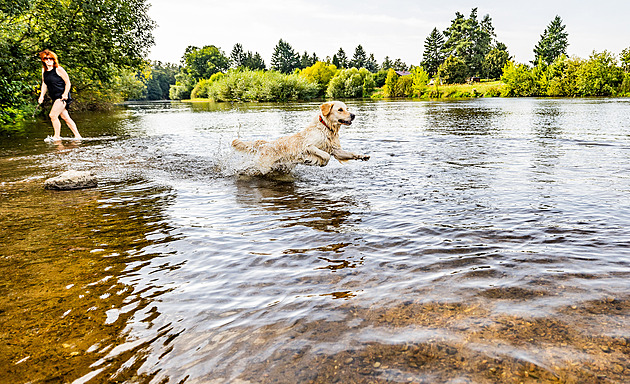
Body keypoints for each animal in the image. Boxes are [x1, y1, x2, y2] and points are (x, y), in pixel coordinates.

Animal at [232, 101, 370, 175]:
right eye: (340, 109)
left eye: (347, 108)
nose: (353, 115)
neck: (326, 128)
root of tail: (265, 144)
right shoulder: (308, 146)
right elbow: (325, 156)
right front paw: (320, 162)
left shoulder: (336, 150)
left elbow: (350, 153)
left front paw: (363, 156)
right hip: (263, 166)